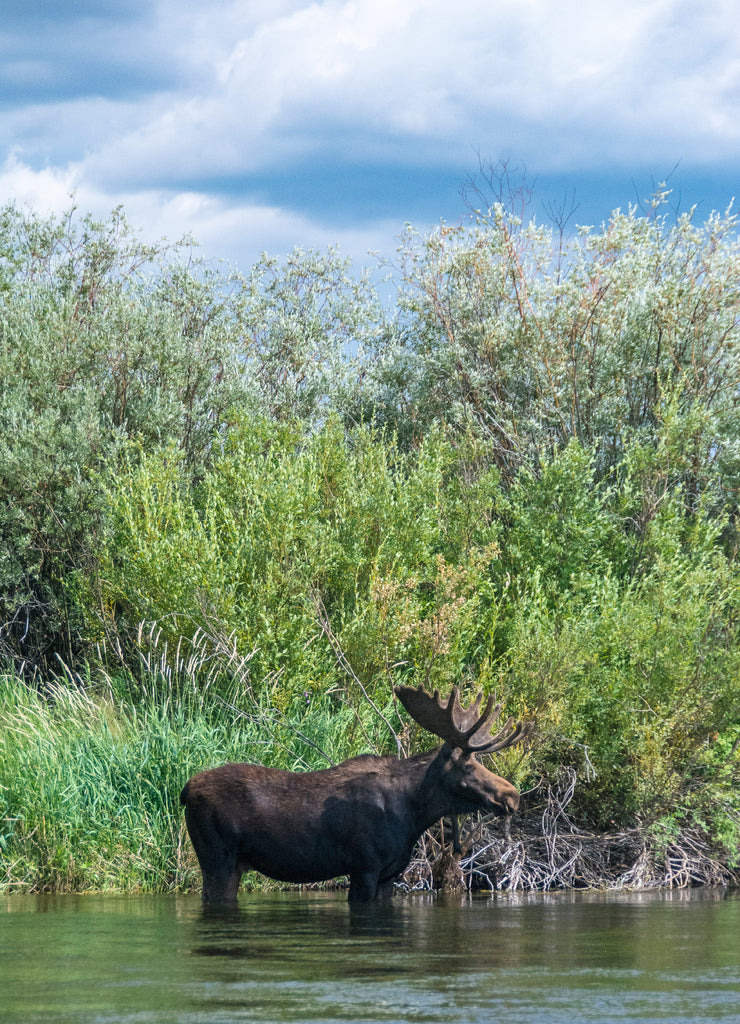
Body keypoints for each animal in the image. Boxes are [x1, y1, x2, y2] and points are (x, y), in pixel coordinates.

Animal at [180, 685, 531, 902]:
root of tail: (184, 791)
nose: (512, 796)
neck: (413, 816)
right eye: (468, 767)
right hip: (217, 859)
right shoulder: (364, 866)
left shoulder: (390, 874)